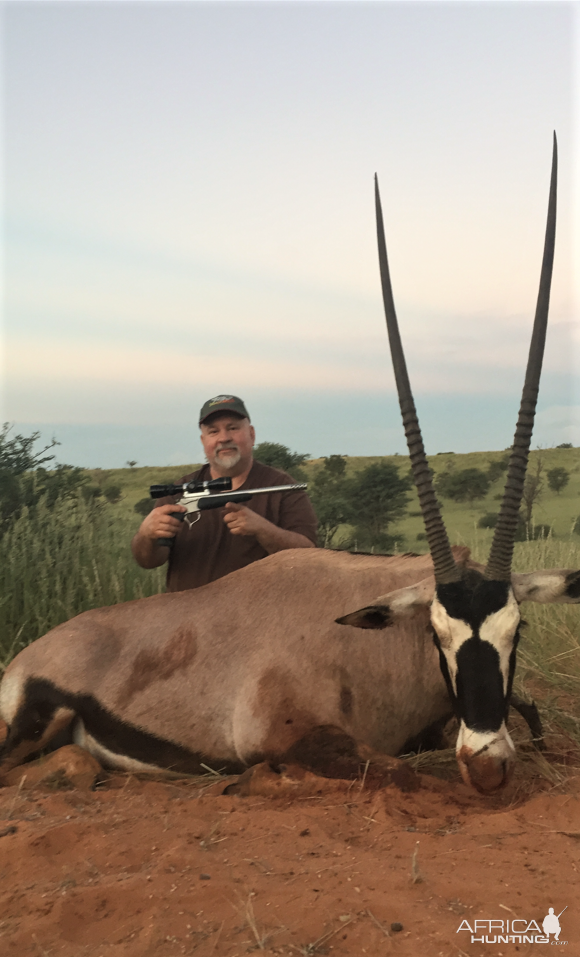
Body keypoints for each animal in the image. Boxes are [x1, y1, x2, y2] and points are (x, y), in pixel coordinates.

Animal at [0, 136, 576, 792]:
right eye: (437, 633)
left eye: (518, 629)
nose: (487, 764)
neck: (370, 643)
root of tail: (25, 658)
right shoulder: (280, 738)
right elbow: (387, 768)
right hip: (38, 717)